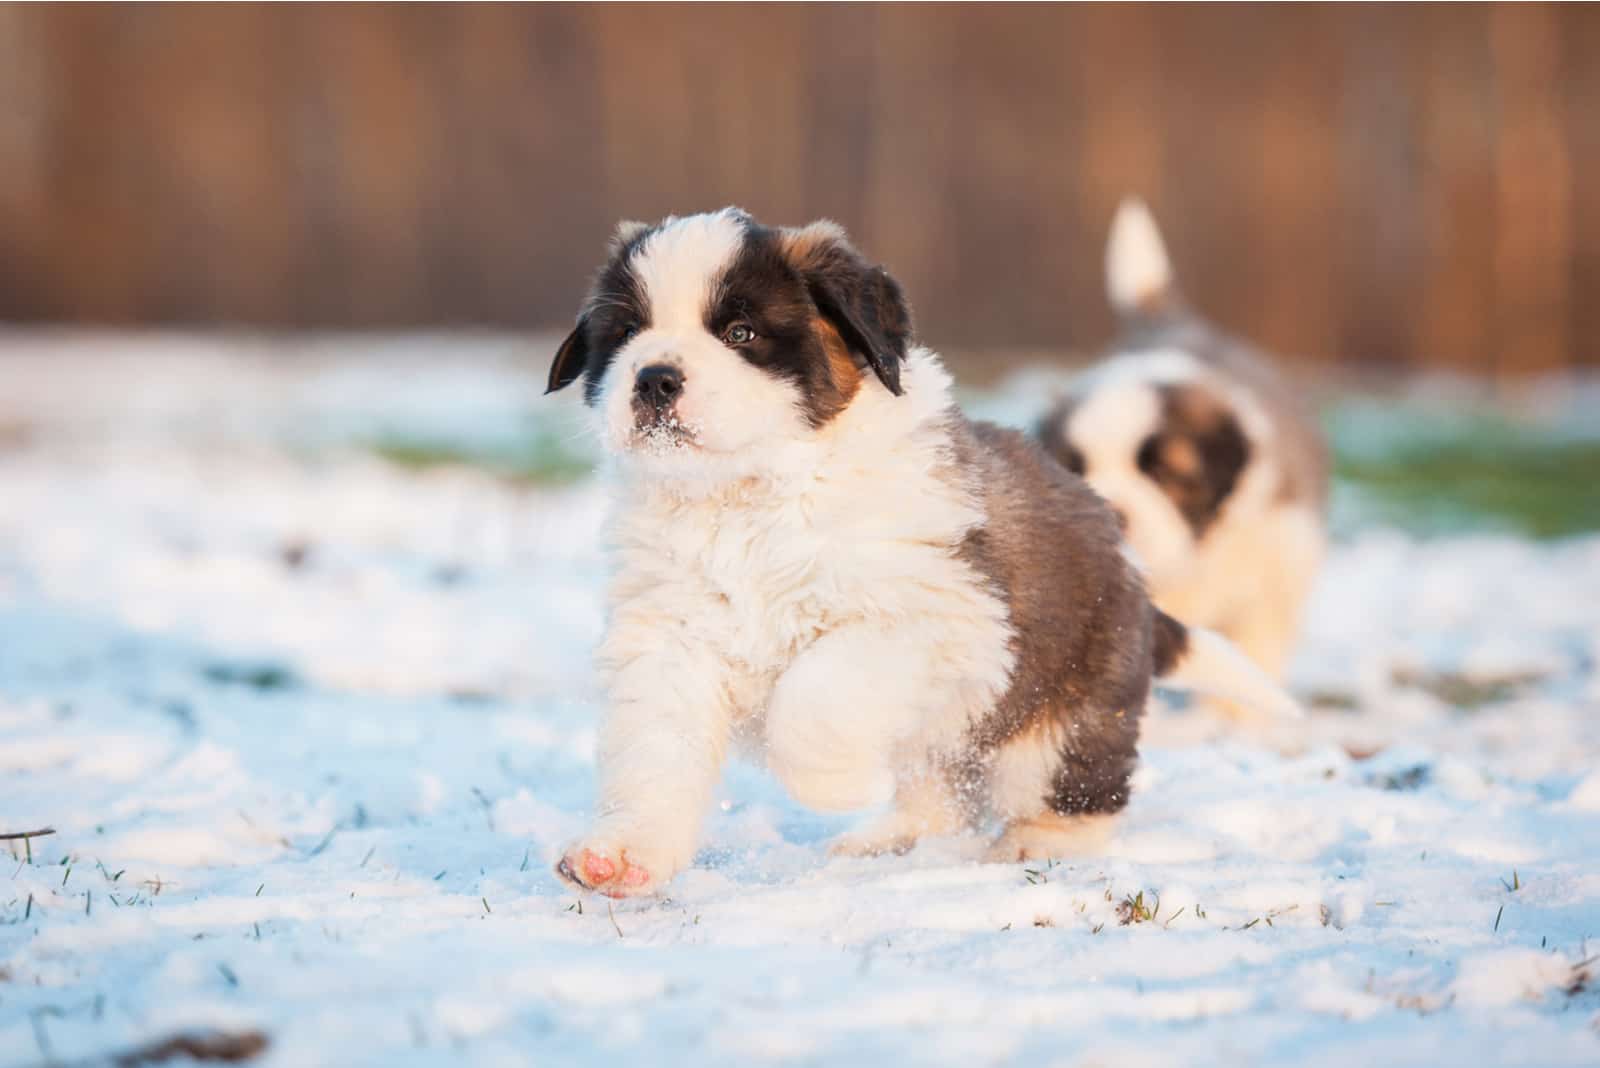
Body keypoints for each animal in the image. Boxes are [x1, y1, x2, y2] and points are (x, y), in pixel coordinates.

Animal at [550, 206, 1299, 895]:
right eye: (625, 335)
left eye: (740, 334)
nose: (653, 379)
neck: (749, 500)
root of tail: (1134, 578)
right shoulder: (668, 638)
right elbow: (655, 752)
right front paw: (624, 853)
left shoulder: (930, 616)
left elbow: (815, 697)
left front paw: (835, 784)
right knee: (944, 791)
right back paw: (893, 838)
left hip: (1068, 705)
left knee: (1076, 784)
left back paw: (1038, 841)